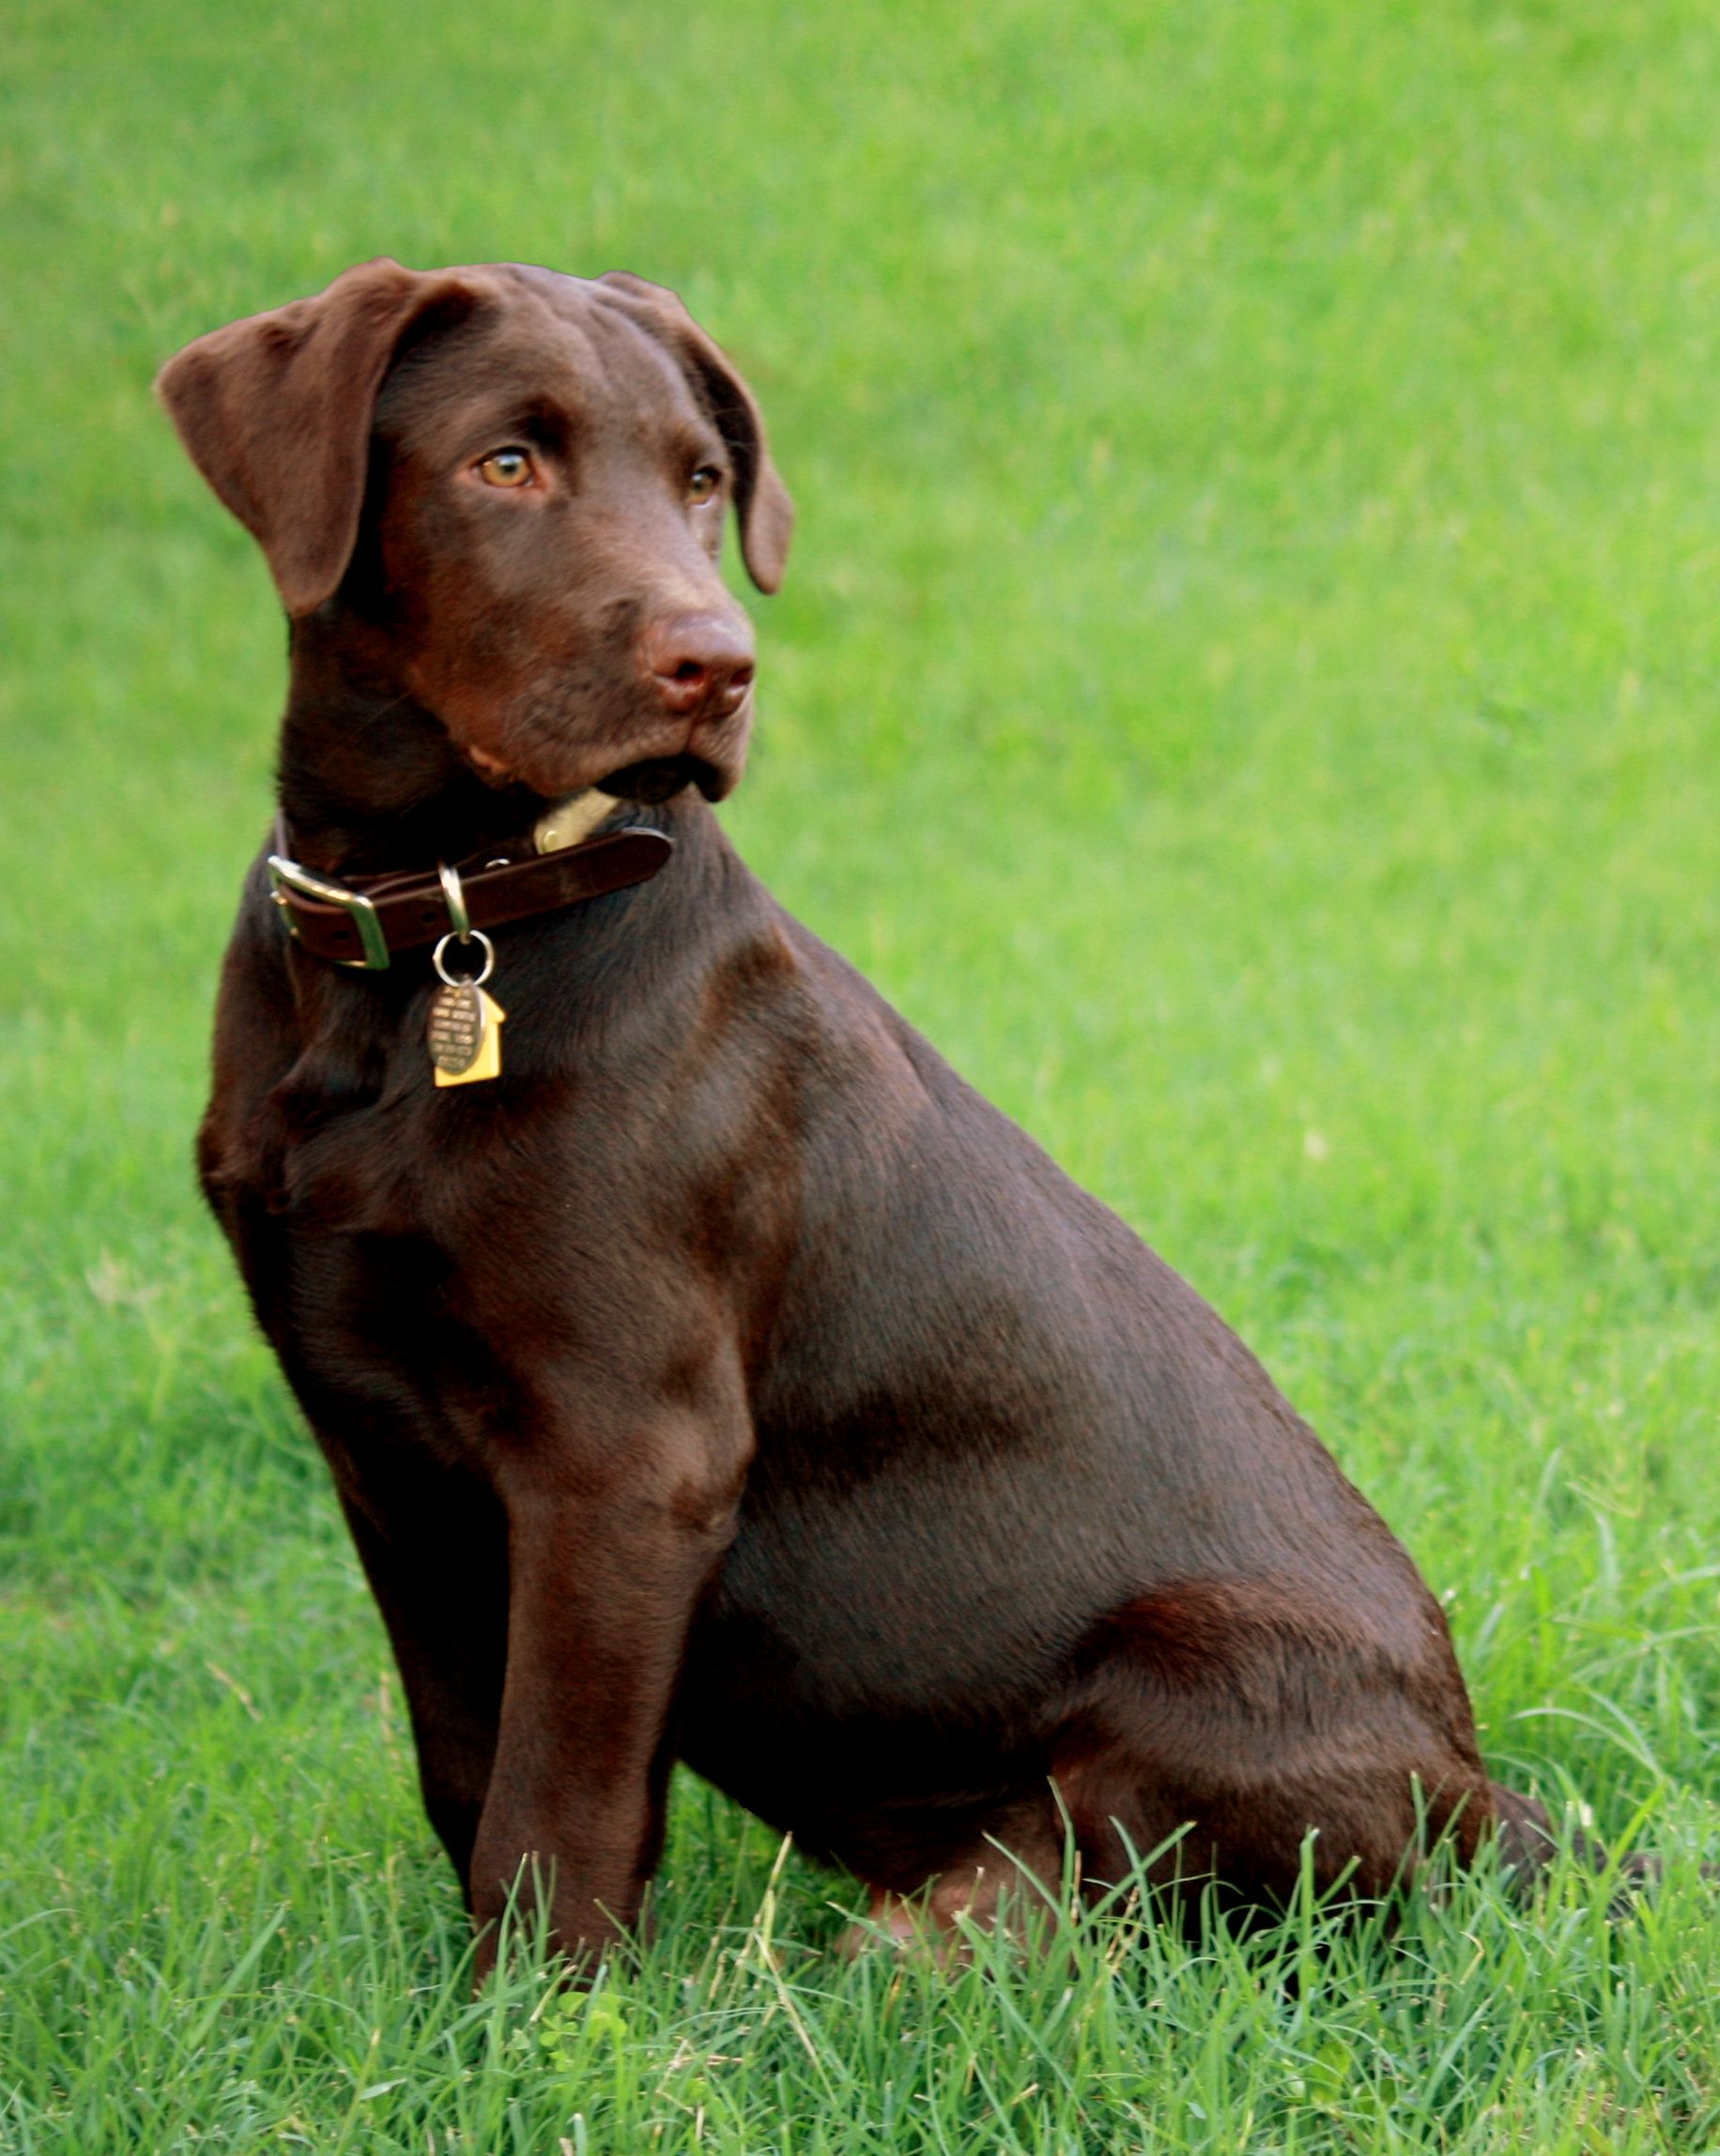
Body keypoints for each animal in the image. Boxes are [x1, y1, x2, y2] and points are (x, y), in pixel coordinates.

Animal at [158, 252, 1560, 1975]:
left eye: (702, 479)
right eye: (505, 463)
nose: (718, 665)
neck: (434, 926)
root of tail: (1490, 1801)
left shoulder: (628, 1453)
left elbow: (557, 1800)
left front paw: (537, 2019)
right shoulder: (376, 1441)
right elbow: (466, 1763)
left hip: (1204, 1664)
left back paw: (939, 1939)